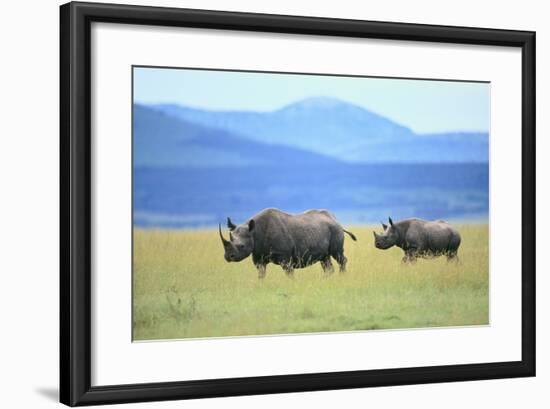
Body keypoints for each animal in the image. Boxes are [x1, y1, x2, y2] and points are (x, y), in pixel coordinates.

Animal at [219, 207, 358, 278]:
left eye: (241, 246)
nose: (228, 257)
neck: (254, 232)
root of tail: (336, 220)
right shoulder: (258, 255)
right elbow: (261, 273)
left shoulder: (284, 257)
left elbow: (289, 272)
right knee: (325, 260)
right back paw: (327, 279)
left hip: (335, 230)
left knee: (338, 255)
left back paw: (342, 277)